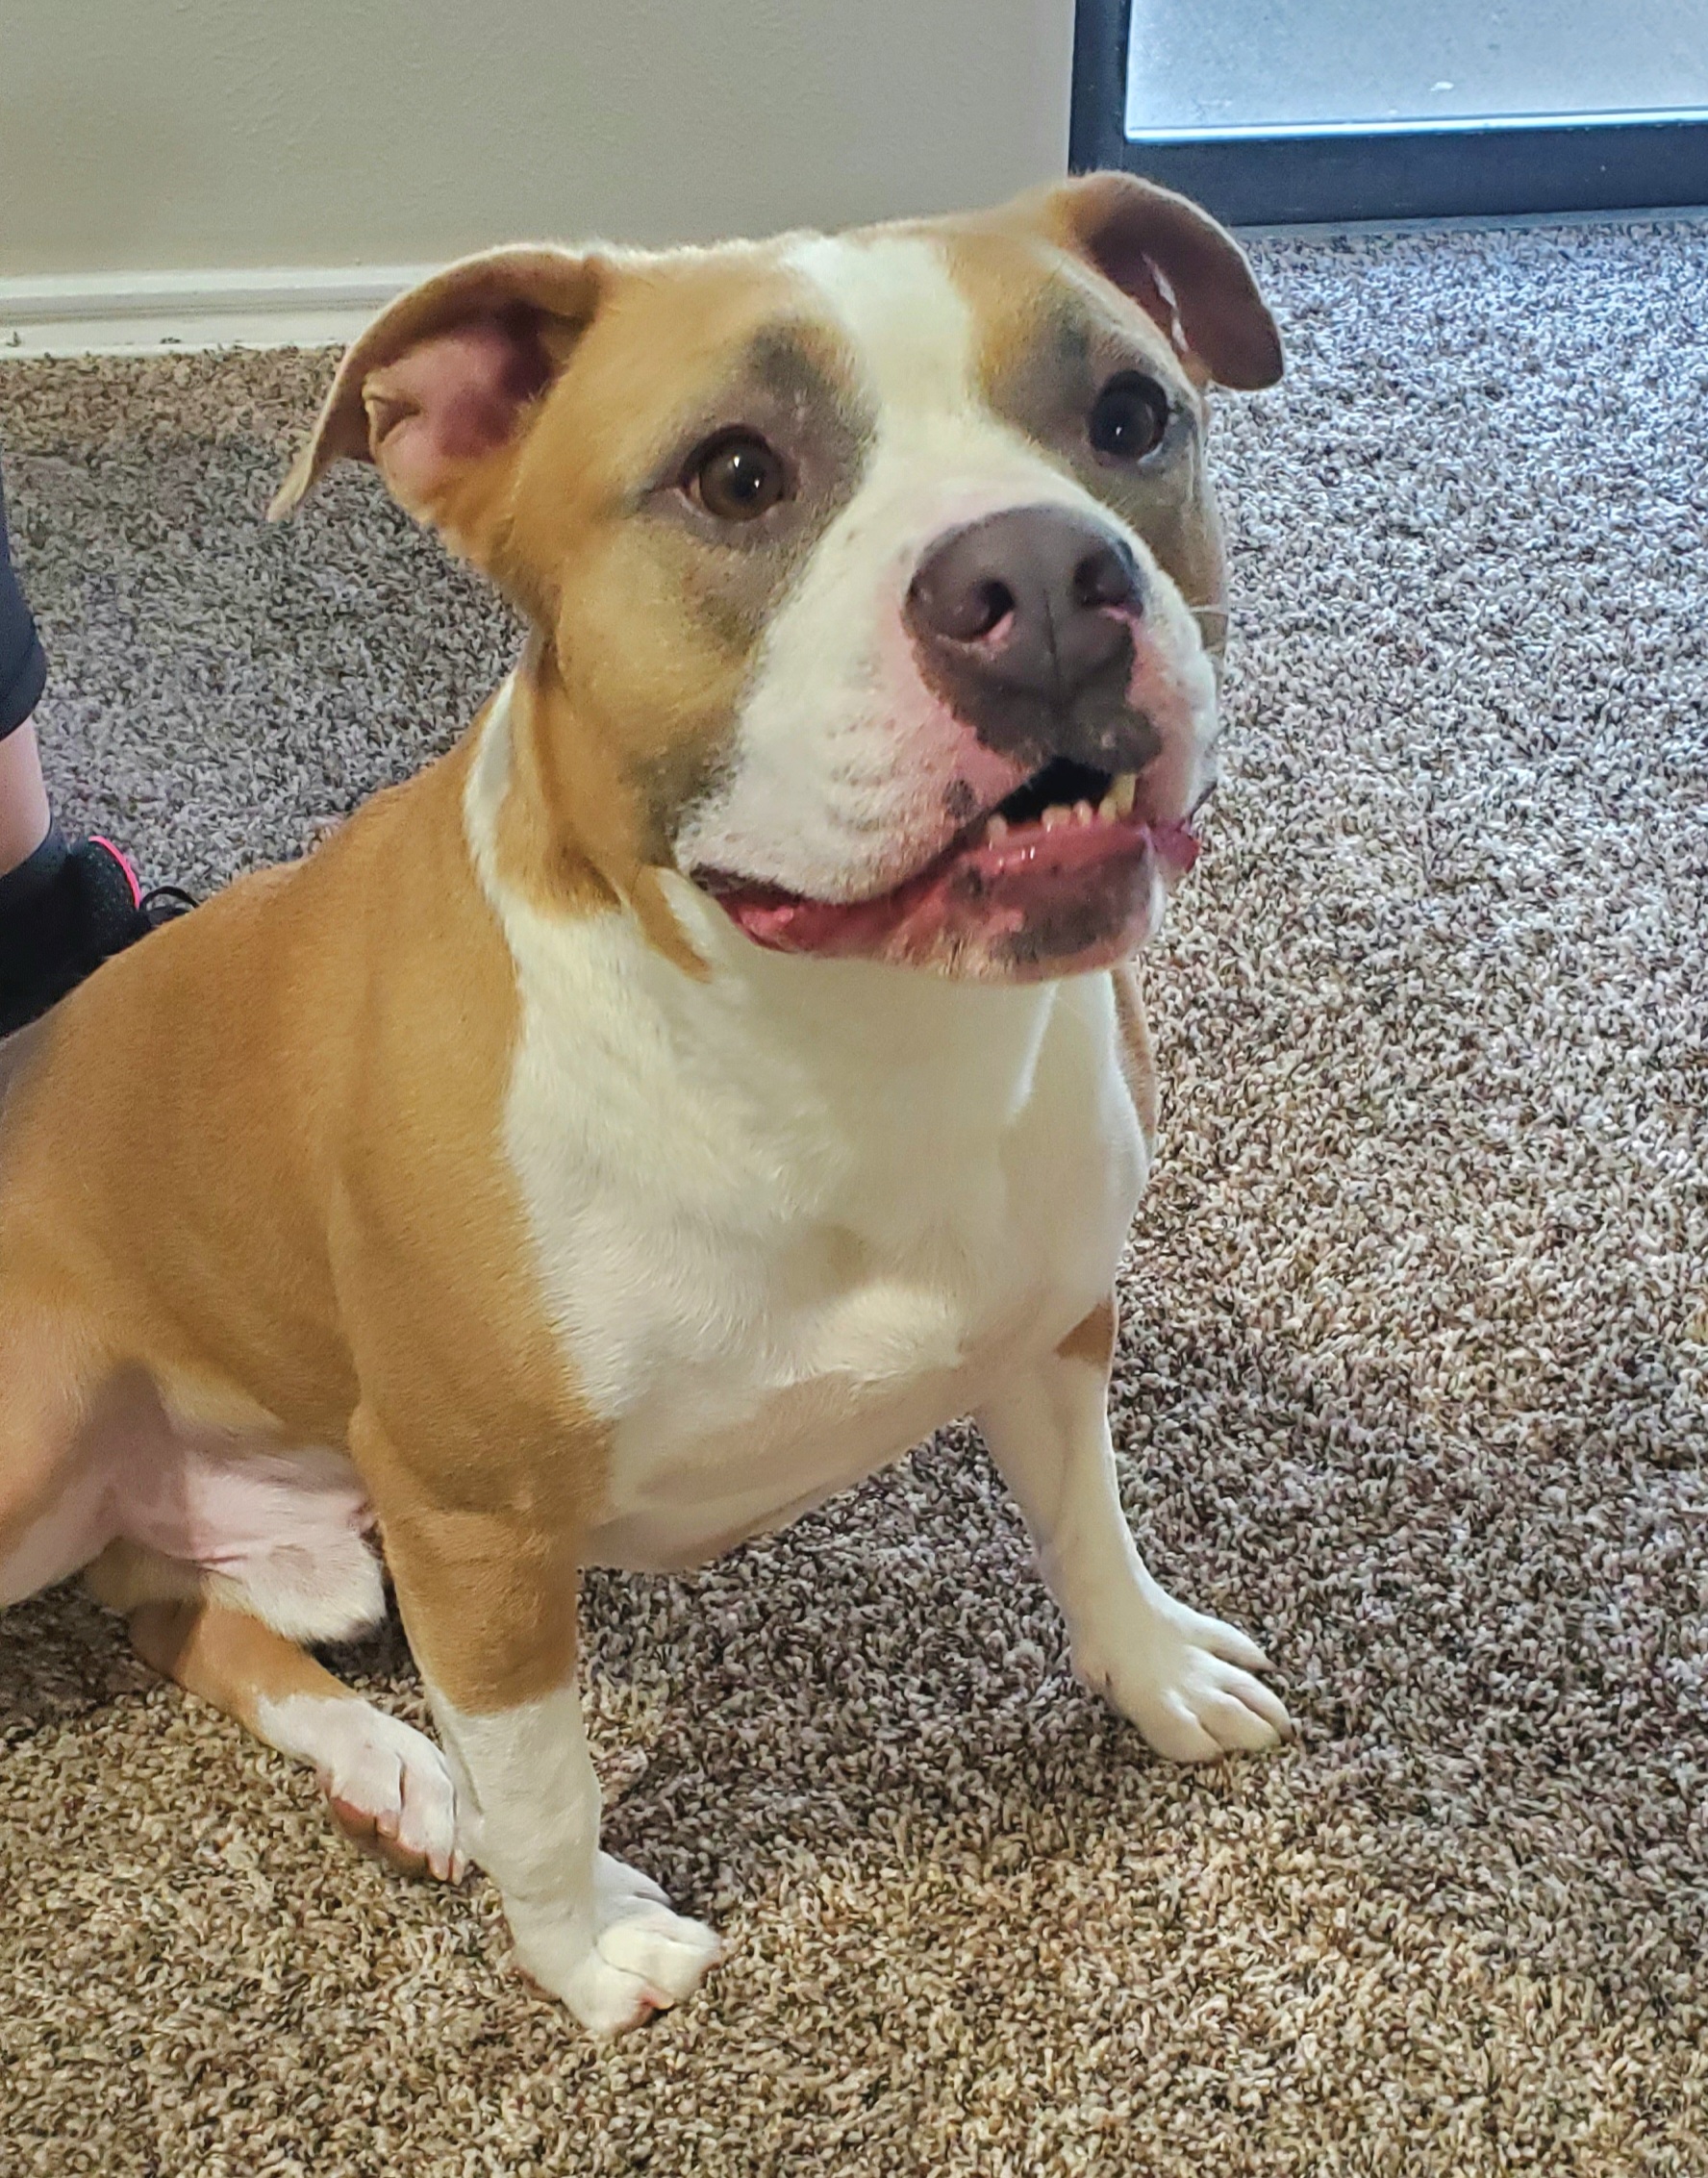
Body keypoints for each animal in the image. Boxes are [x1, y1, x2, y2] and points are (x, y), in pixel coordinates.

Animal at [0, 174, 1281, 2039]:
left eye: (1128, 415)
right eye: (735, 474)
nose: (1044, 576)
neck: (842, 1042)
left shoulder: (1056, 1319)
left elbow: (1088, 1521)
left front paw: (1154, 1663)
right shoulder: (477, 1528)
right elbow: (546, 1784)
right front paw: (584, 1953)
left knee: (172, 1609)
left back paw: (387, 1767)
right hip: (45, 1438)